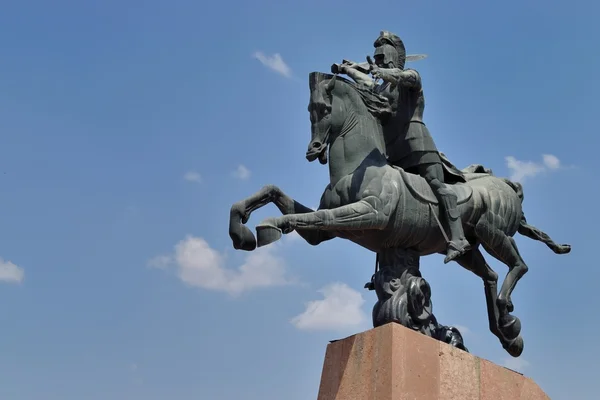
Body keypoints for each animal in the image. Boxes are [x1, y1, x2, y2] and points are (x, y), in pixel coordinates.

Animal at [227, 71, 568, 356]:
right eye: (308, 110)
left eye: (323, 109)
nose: (312, 150)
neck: (355, 170)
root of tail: (508, 184)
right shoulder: (321, 235)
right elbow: (277, 195)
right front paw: (240, 232)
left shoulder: (369, 215)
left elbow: (309, 216)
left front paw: (266, 227)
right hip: (472, 250)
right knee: (492, 274)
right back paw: (506, 331)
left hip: (491, 232)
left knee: (518, 265)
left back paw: (506, 314)